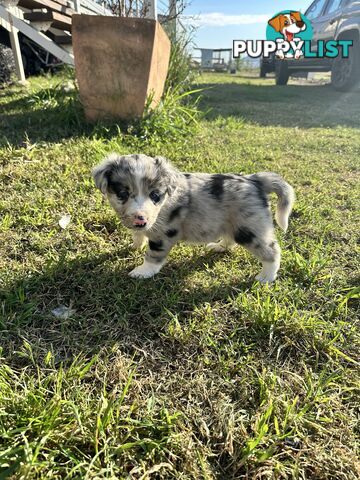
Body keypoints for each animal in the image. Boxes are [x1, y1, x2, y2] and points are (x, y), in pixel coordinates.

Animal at [93, 153, 296, 282]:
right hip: (232, 223)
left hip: (250, 228)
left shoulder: (163, 234)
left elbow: (153, 255)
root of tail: (255, 180)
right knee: (230, 239)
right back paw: (219, 246)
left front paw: (142, 272)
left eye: (155, 195)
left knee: (272, 250)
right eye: (122, 194)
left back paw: (266, 277)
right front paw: (134, 246)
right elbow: (138, 235)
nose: (140, 219)